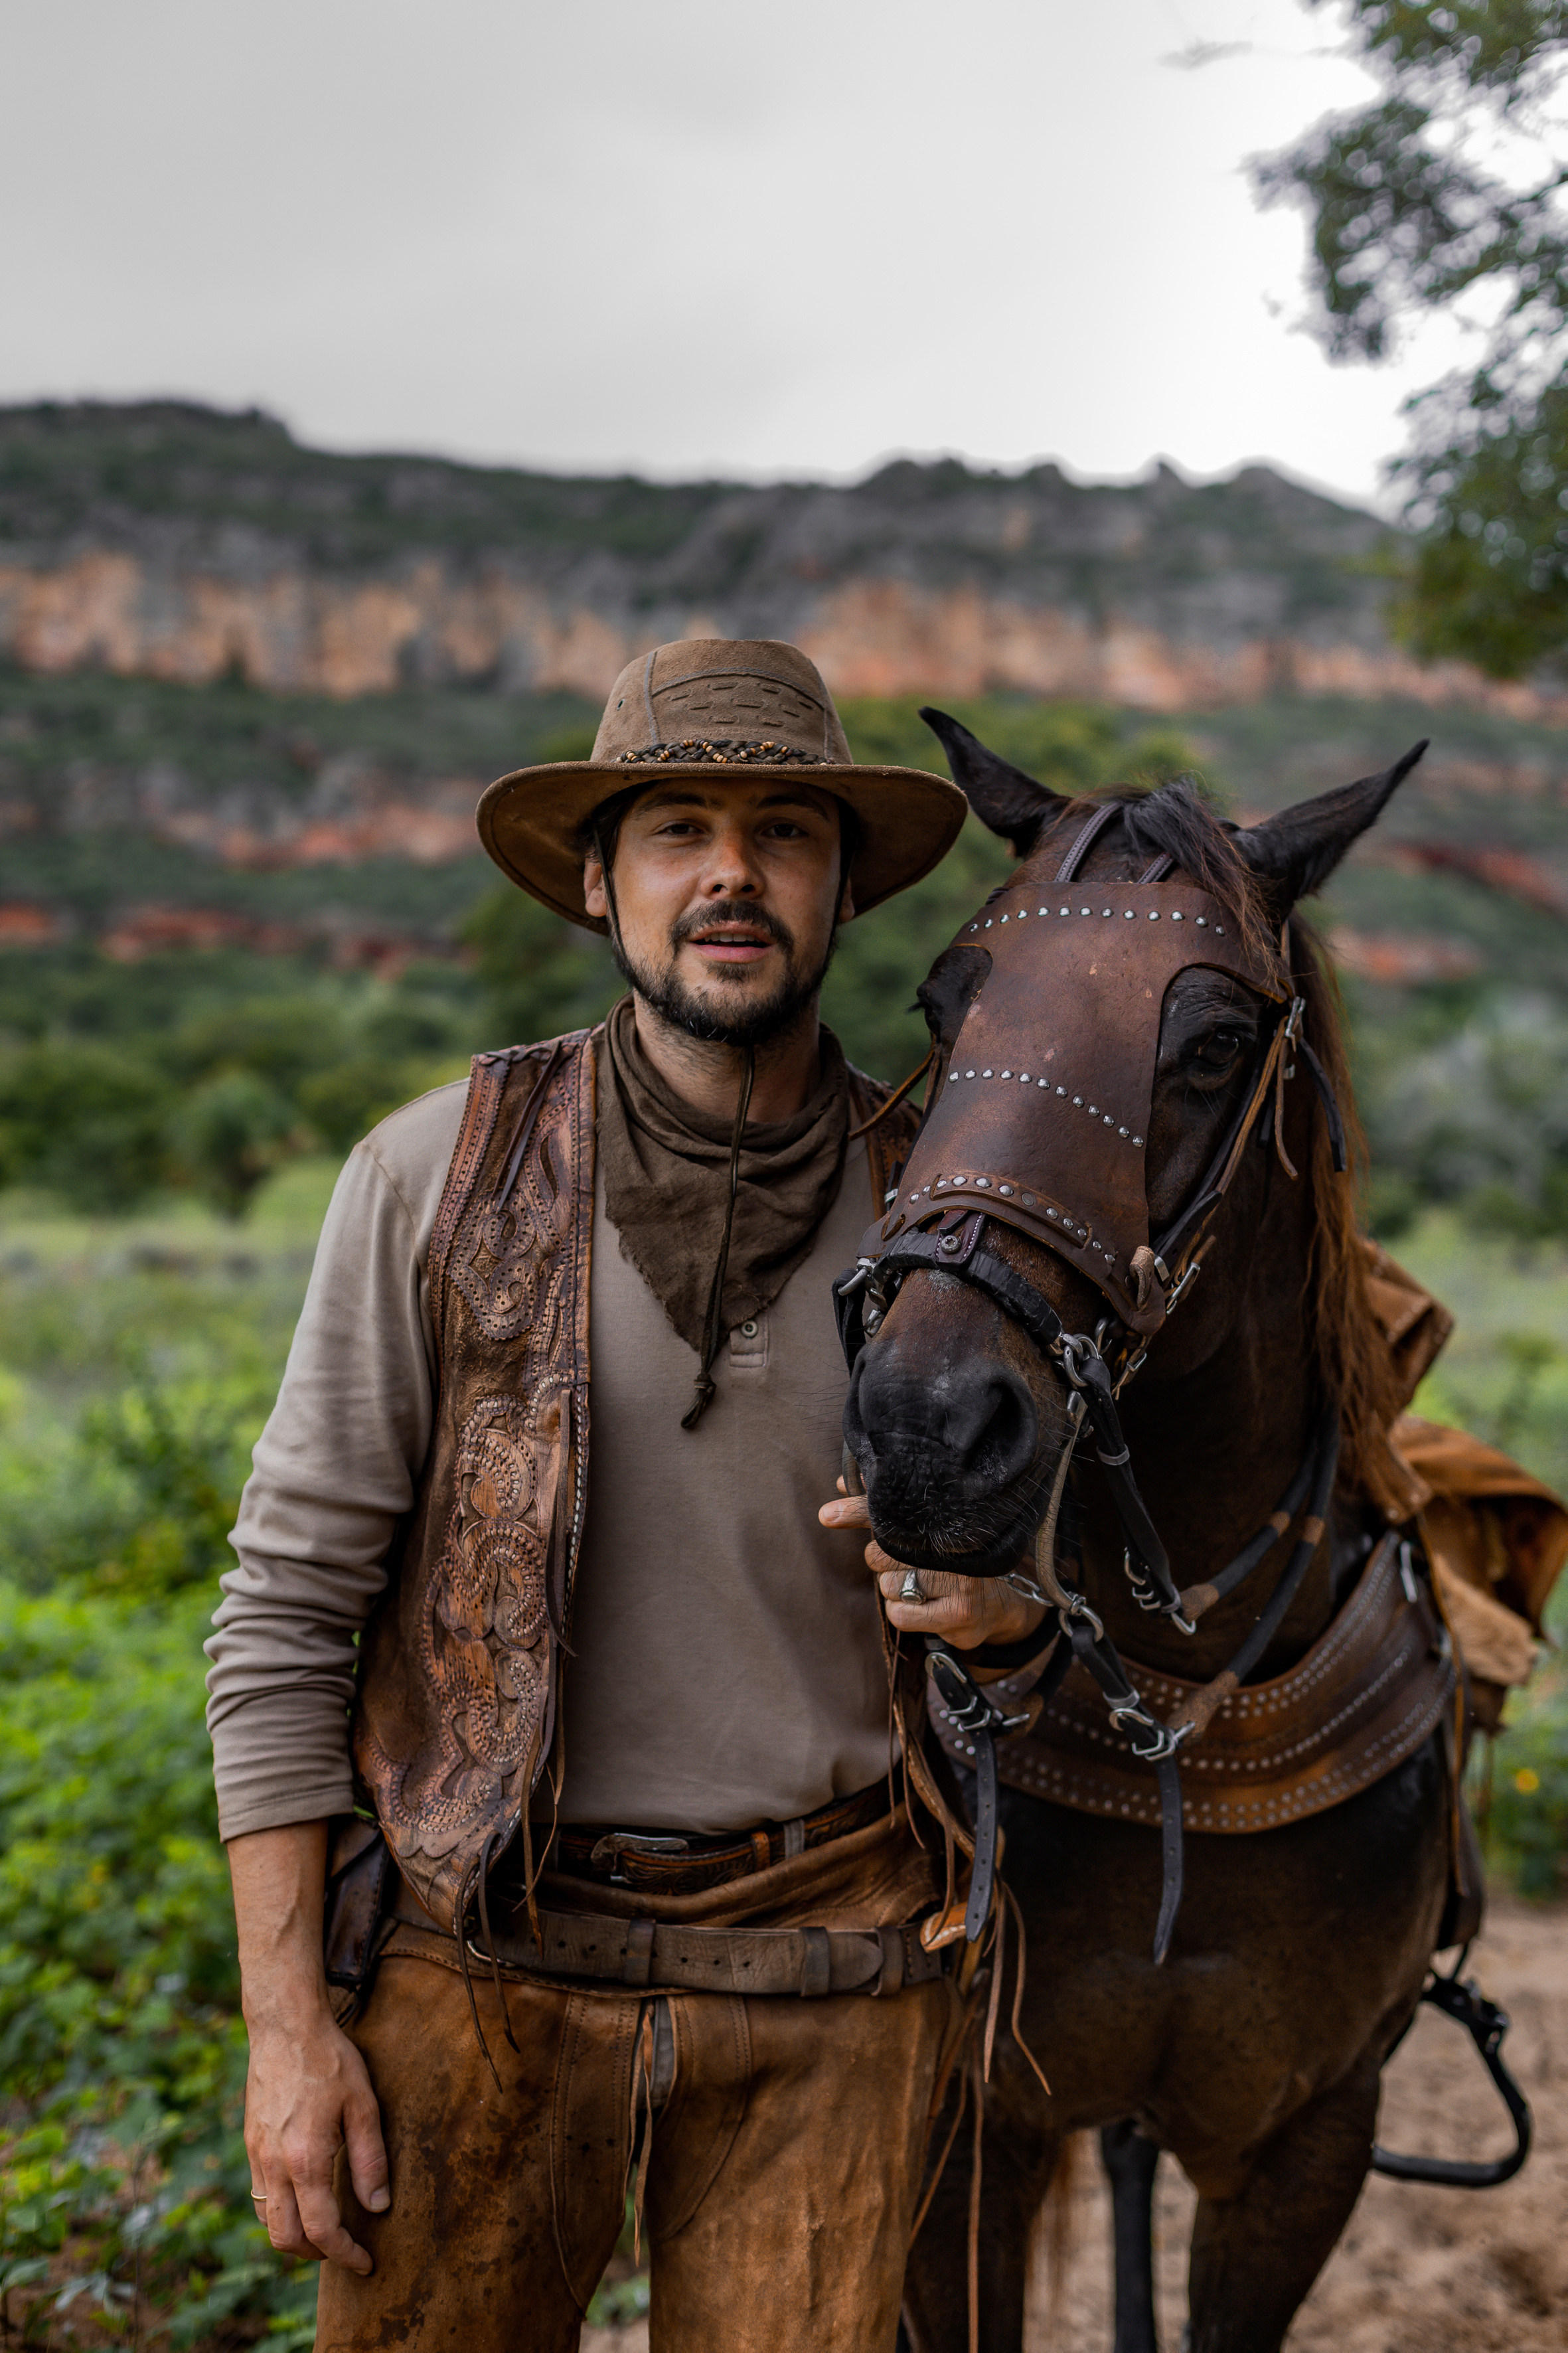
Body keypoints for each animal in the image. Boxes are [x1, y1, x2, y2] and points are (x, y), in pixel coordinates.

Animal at [838, 720, 1459, 2353]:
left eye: (1215, 1042)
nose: (924, 1426)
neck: (1181, 1699)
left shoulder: (1308, 2140)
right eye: (945, 1000)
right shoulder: (967, 2136)